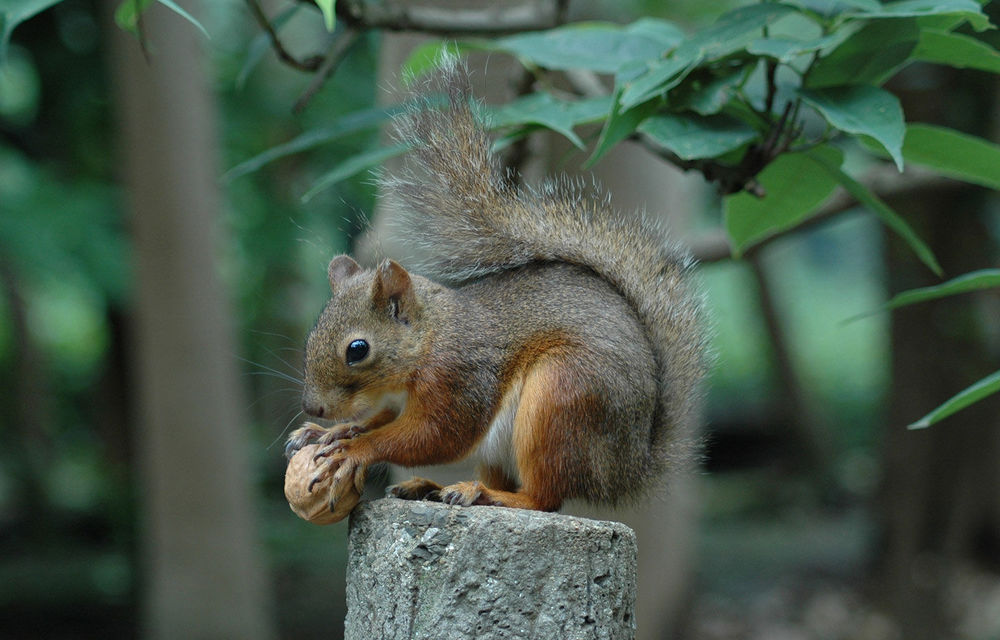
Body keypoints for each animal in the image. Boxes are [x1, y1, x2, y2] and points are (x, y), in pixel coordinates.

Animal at [282, 57, 704, 512]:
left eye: (357, 350)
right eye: (312, 335)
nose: (313, 406)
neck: (429, 340)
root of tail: (627, 468)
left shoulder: (458, 379)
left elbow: (434, 436)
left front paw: (353, 449)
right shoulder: (397, 402)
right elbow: (379, 421)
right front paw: (330, 432)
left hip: (560, 398)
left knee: (544, 498)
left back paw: (486, 493)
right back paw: (432, 487)